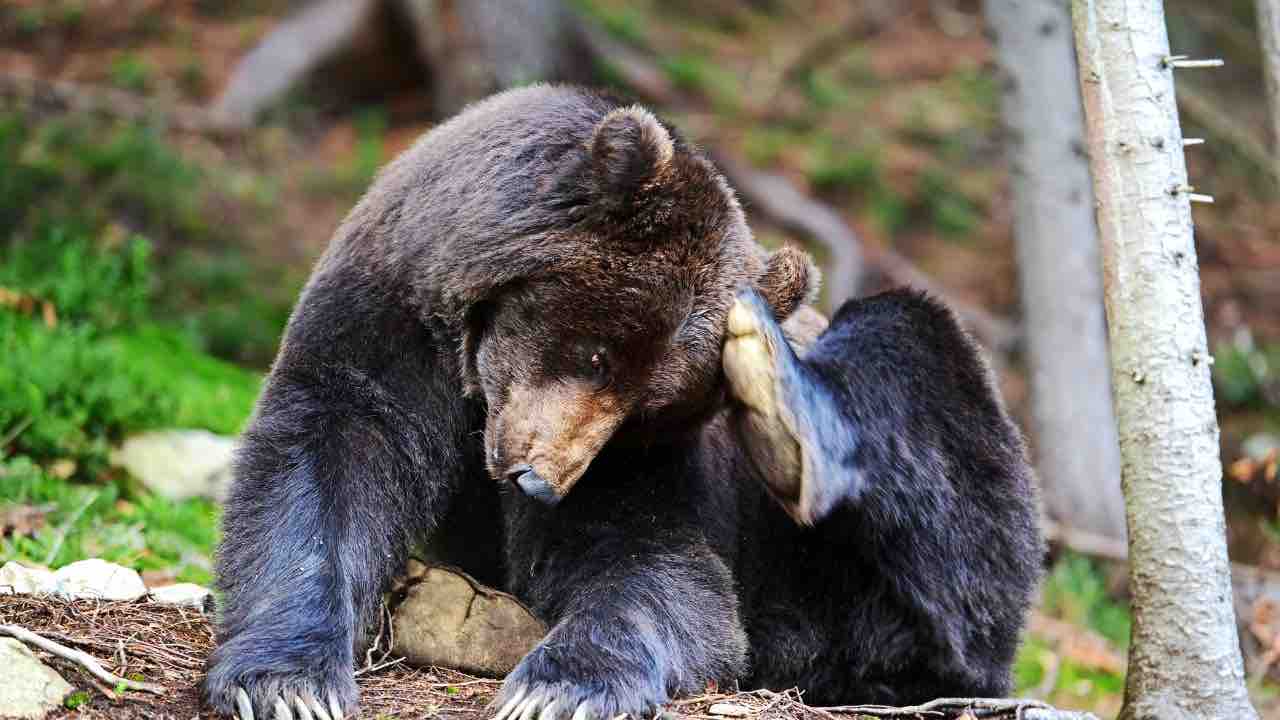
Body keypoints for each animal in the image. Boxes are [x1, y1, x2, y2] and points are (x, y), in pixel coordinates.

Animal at [203, 85, 1043, 720]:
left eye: (648, 410)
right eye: (596, 353)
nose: (538, 479)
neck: (471, 376)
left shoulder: (643, 468)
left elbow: (651, 561)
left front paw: (560, 687)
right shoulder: (391, 311)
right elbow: (329, 457)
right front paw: (285, 682)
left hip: (876, 576)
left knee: (922, 378)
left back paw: (782, 397)